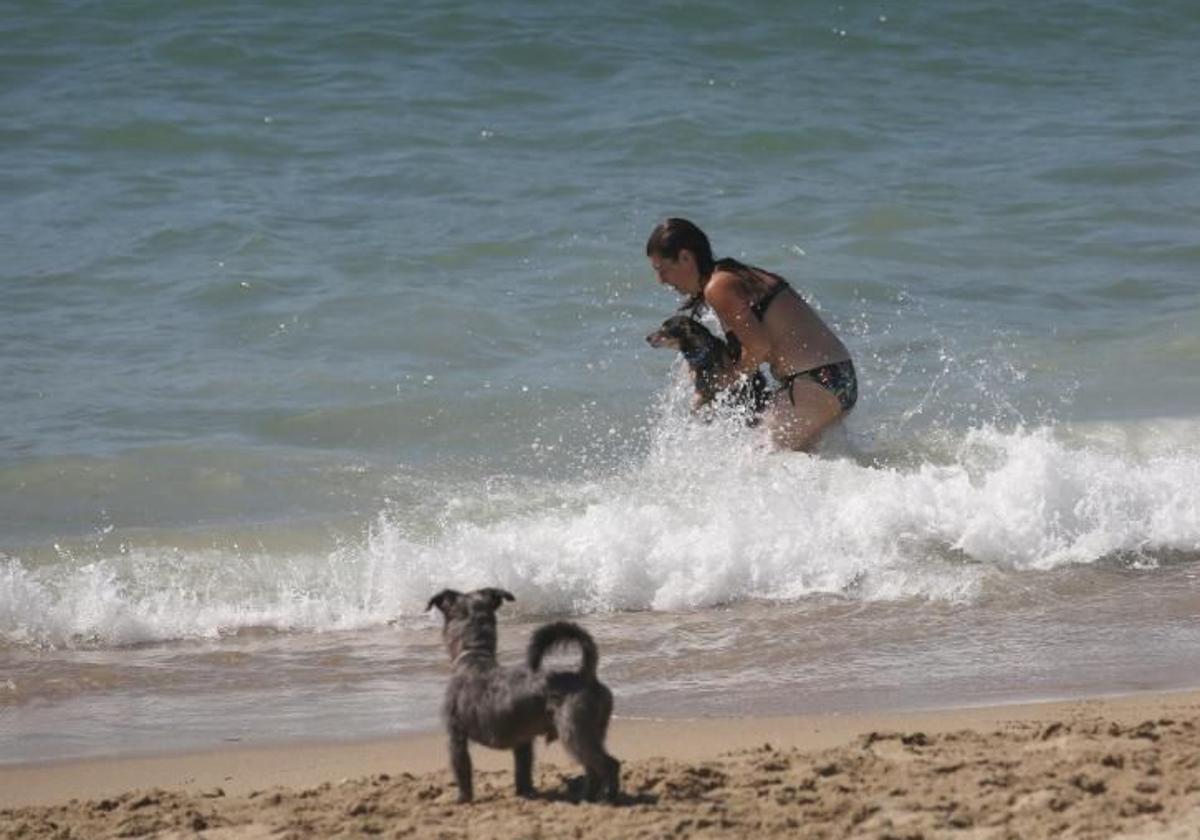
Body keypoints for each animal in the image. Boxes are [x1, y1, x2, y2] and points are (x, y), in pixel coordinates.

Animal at [429, 588, 619, 801]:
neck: (473, 657)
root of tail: (586, 675)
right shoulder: (523, 742)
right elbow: (523, 770)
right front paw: (524, 793)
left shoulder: (456, 736)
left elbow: (463, 773)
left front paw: (463, 799)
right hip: (593, 732)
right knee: (593, 769)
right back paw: (587, 797)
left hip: (574, 732)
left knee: (608, 765)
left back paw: (610, 797)